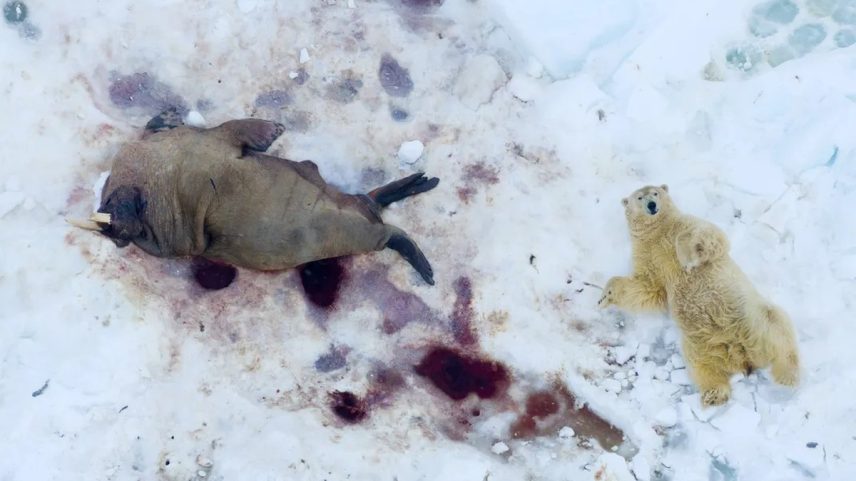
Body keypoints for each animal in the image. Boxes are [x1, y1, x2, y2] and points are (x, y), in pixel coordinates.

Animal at [598, 184, 800, 406]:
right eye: (640, 197)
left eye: (656, 193)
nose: (652, 205)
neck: (657, 232)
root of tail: (743, 356)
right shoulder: (646, 255)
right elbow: (649, 287)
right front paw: (604, 297)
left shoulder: (686, 224)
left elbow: (710, 237)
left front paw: (687, 254)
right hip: (701, 344)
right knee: (702, 366)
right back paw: (714, 395)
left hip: (752, 318)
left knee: (777, 330)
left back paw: (786, 377)